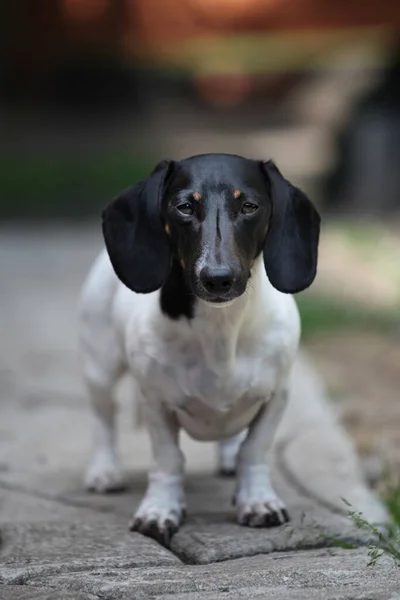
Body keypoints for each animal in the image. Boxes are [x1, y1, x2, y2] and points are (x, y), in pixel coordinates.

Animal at [79, 152, 320, 548]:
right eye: (184, 207)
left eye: (249, 206)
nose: (218, 279)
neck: (221, 328)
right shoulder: (156, 403)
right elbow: (168, 460)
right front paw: (160, 510)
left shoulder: (276, 396)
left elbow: (254, 450)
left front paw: (257, 501)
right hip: (99, 367)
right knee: (103, 418)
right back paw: (104, 470)